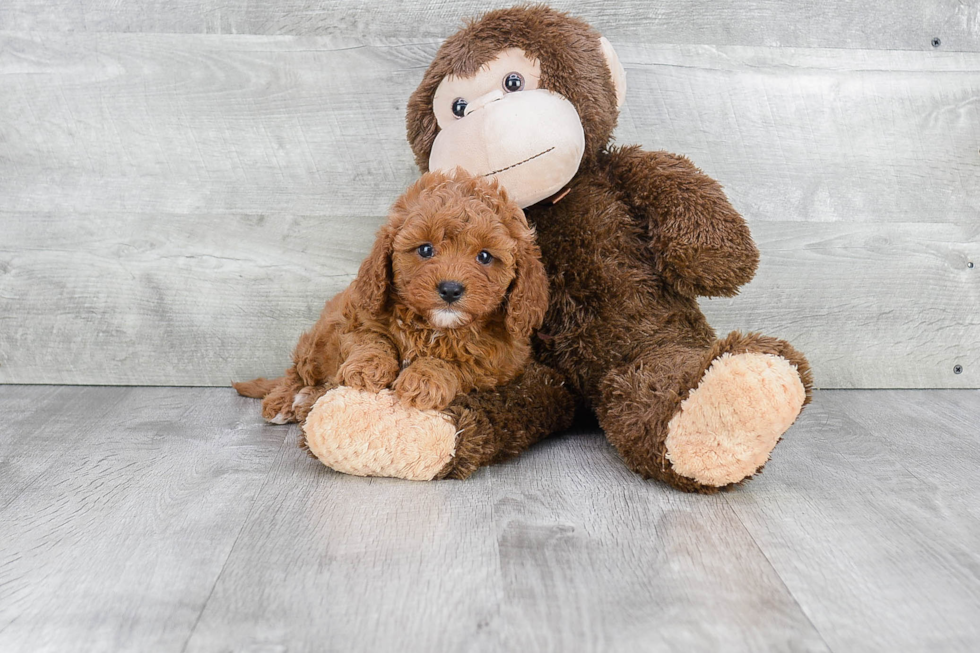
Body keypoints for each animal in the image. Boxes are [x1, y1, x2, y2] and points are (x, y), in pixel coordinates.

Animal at [234, 168, 548, 422]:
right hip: (316, 341)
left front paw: (424, 379)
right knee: (297, 373)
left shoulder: (497, 364)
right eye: (425, 249)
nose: (450, 289)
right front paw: (367, 368)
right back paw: (285, 400)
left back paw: (305, 400)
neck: (434, 328)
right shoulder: (355, 318)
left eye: (484, 256)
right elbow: (373, 340)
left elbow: (455, 364)